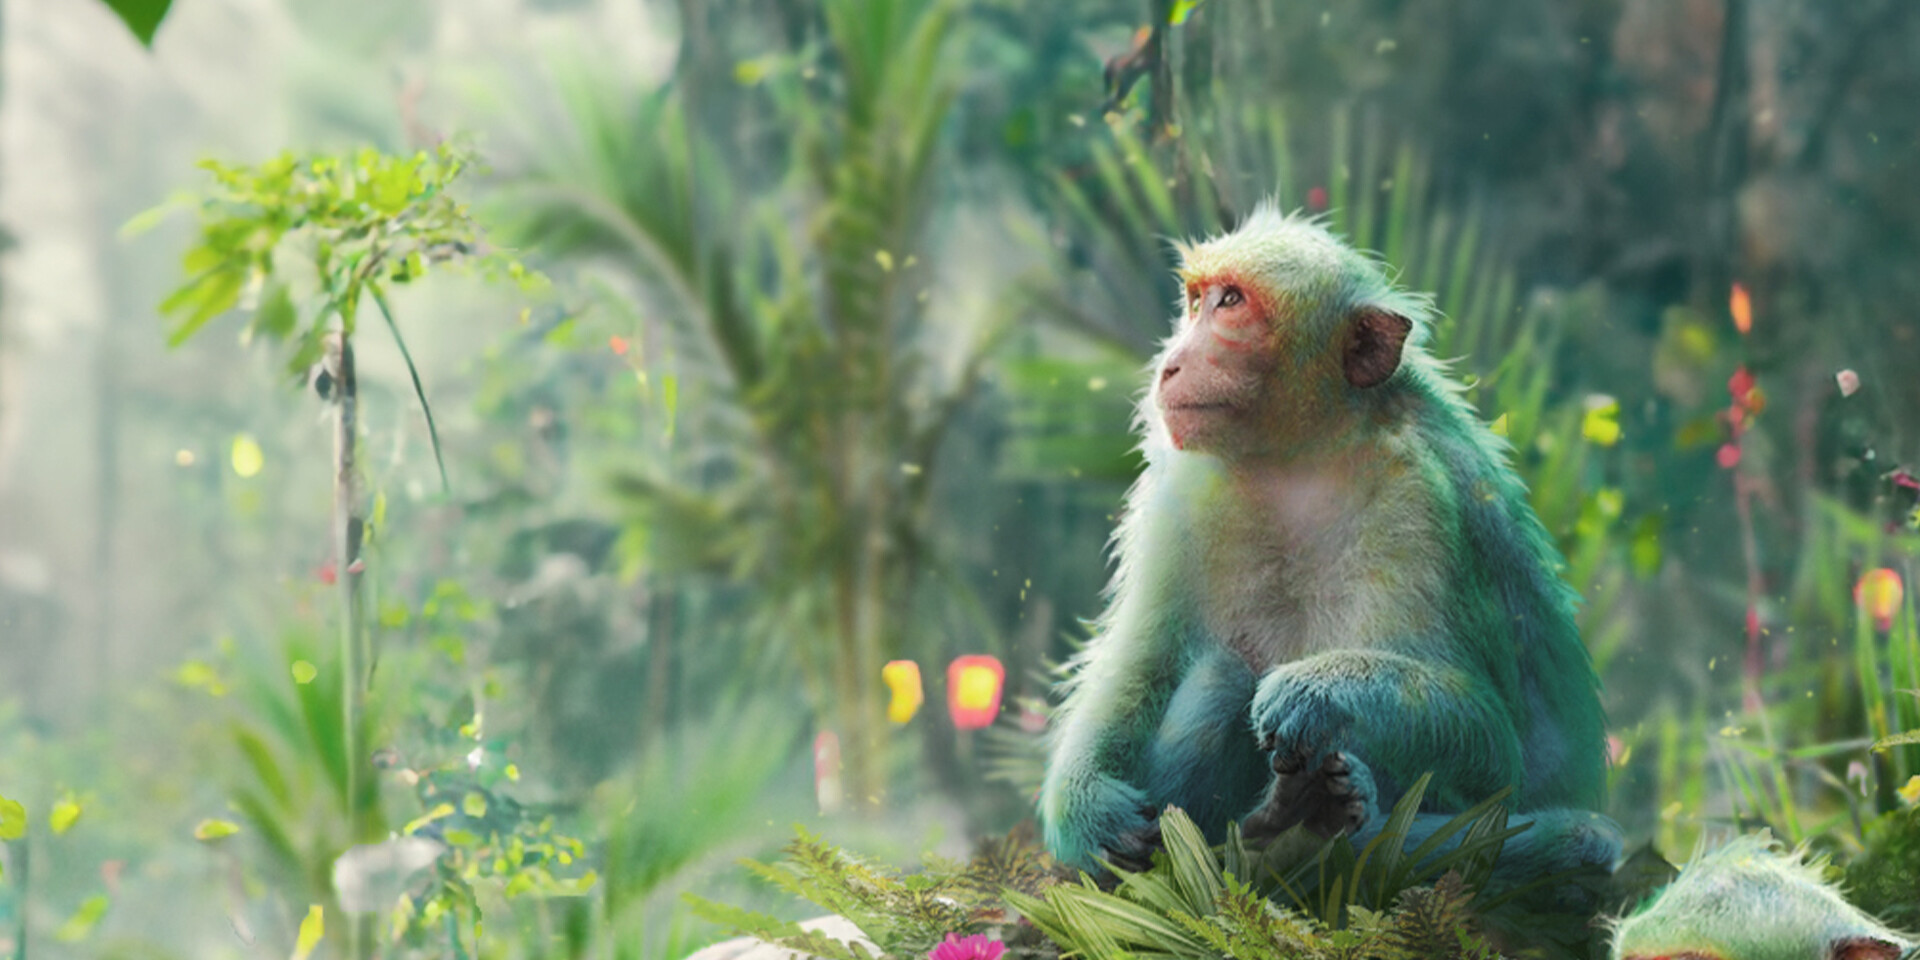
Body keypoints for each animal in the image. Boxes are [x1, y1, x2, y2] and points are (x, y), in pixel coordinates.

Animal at [1036, 205, 1622, 897]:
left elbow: (1489, 741)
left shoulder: (1421, 500)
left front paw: (1316, 691)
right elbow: (1141, 662)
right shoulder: (1182, 490)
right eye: (1197, 300)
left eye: (1231, 303)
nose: (1171, 364)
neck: (1298, 462)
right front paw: (1084, 806)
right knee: (1220, 676)